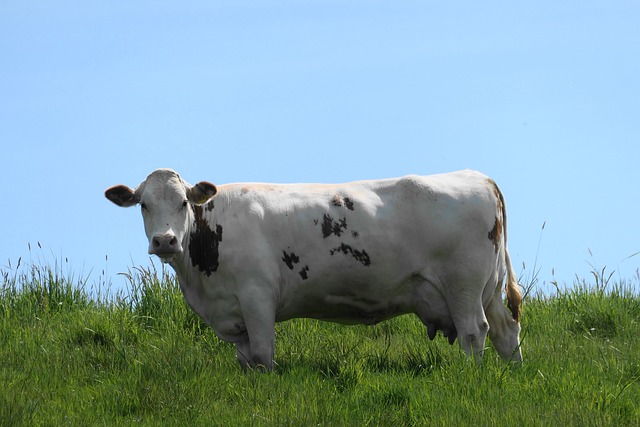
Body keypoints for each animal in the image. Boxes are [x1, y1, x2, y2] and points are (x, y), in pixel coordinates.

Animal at [105, 169, 524, 370]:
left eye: (182, 203)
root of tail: (476, 176)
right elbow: (246, 362)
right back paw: (514, 375)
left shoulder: (257, 298)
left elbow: (263, 355)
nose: (164, 241)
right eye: (144, 204)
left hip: (463, 286)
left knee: (474, 333)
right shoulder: (233, 312)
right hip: (487, 288)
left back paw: (470, 377)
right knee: (506, 330)